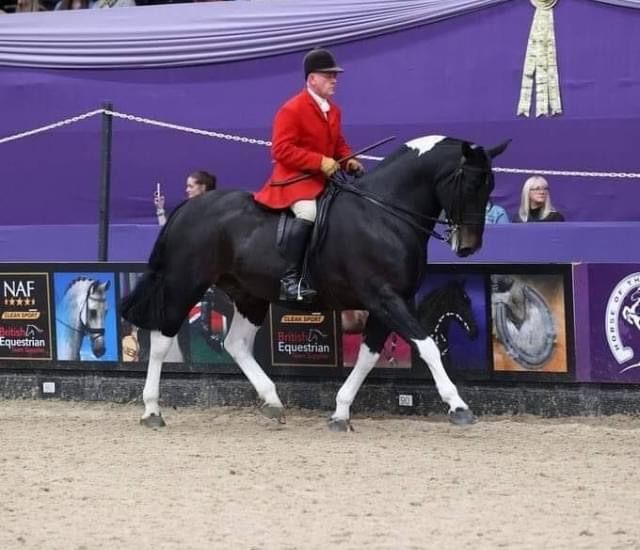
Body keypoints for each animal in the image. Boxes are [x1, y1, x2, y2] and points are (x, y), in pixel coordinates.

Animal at [122, 136, 508, 434]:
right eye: (470, 184)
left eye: (490, 185)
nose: (469, 247)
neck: (384, 213)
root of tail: (188, 207)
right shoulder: (385, 297)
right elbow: (426, 346)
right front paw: (458, 406)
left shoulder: (389, 302)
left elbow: (368, 357)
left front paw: (340, 412)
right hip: (184, 283)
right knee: (162, 339)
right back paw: (152, 410)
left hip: (249, 295)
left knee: (236, 344)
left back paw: (273, 402)